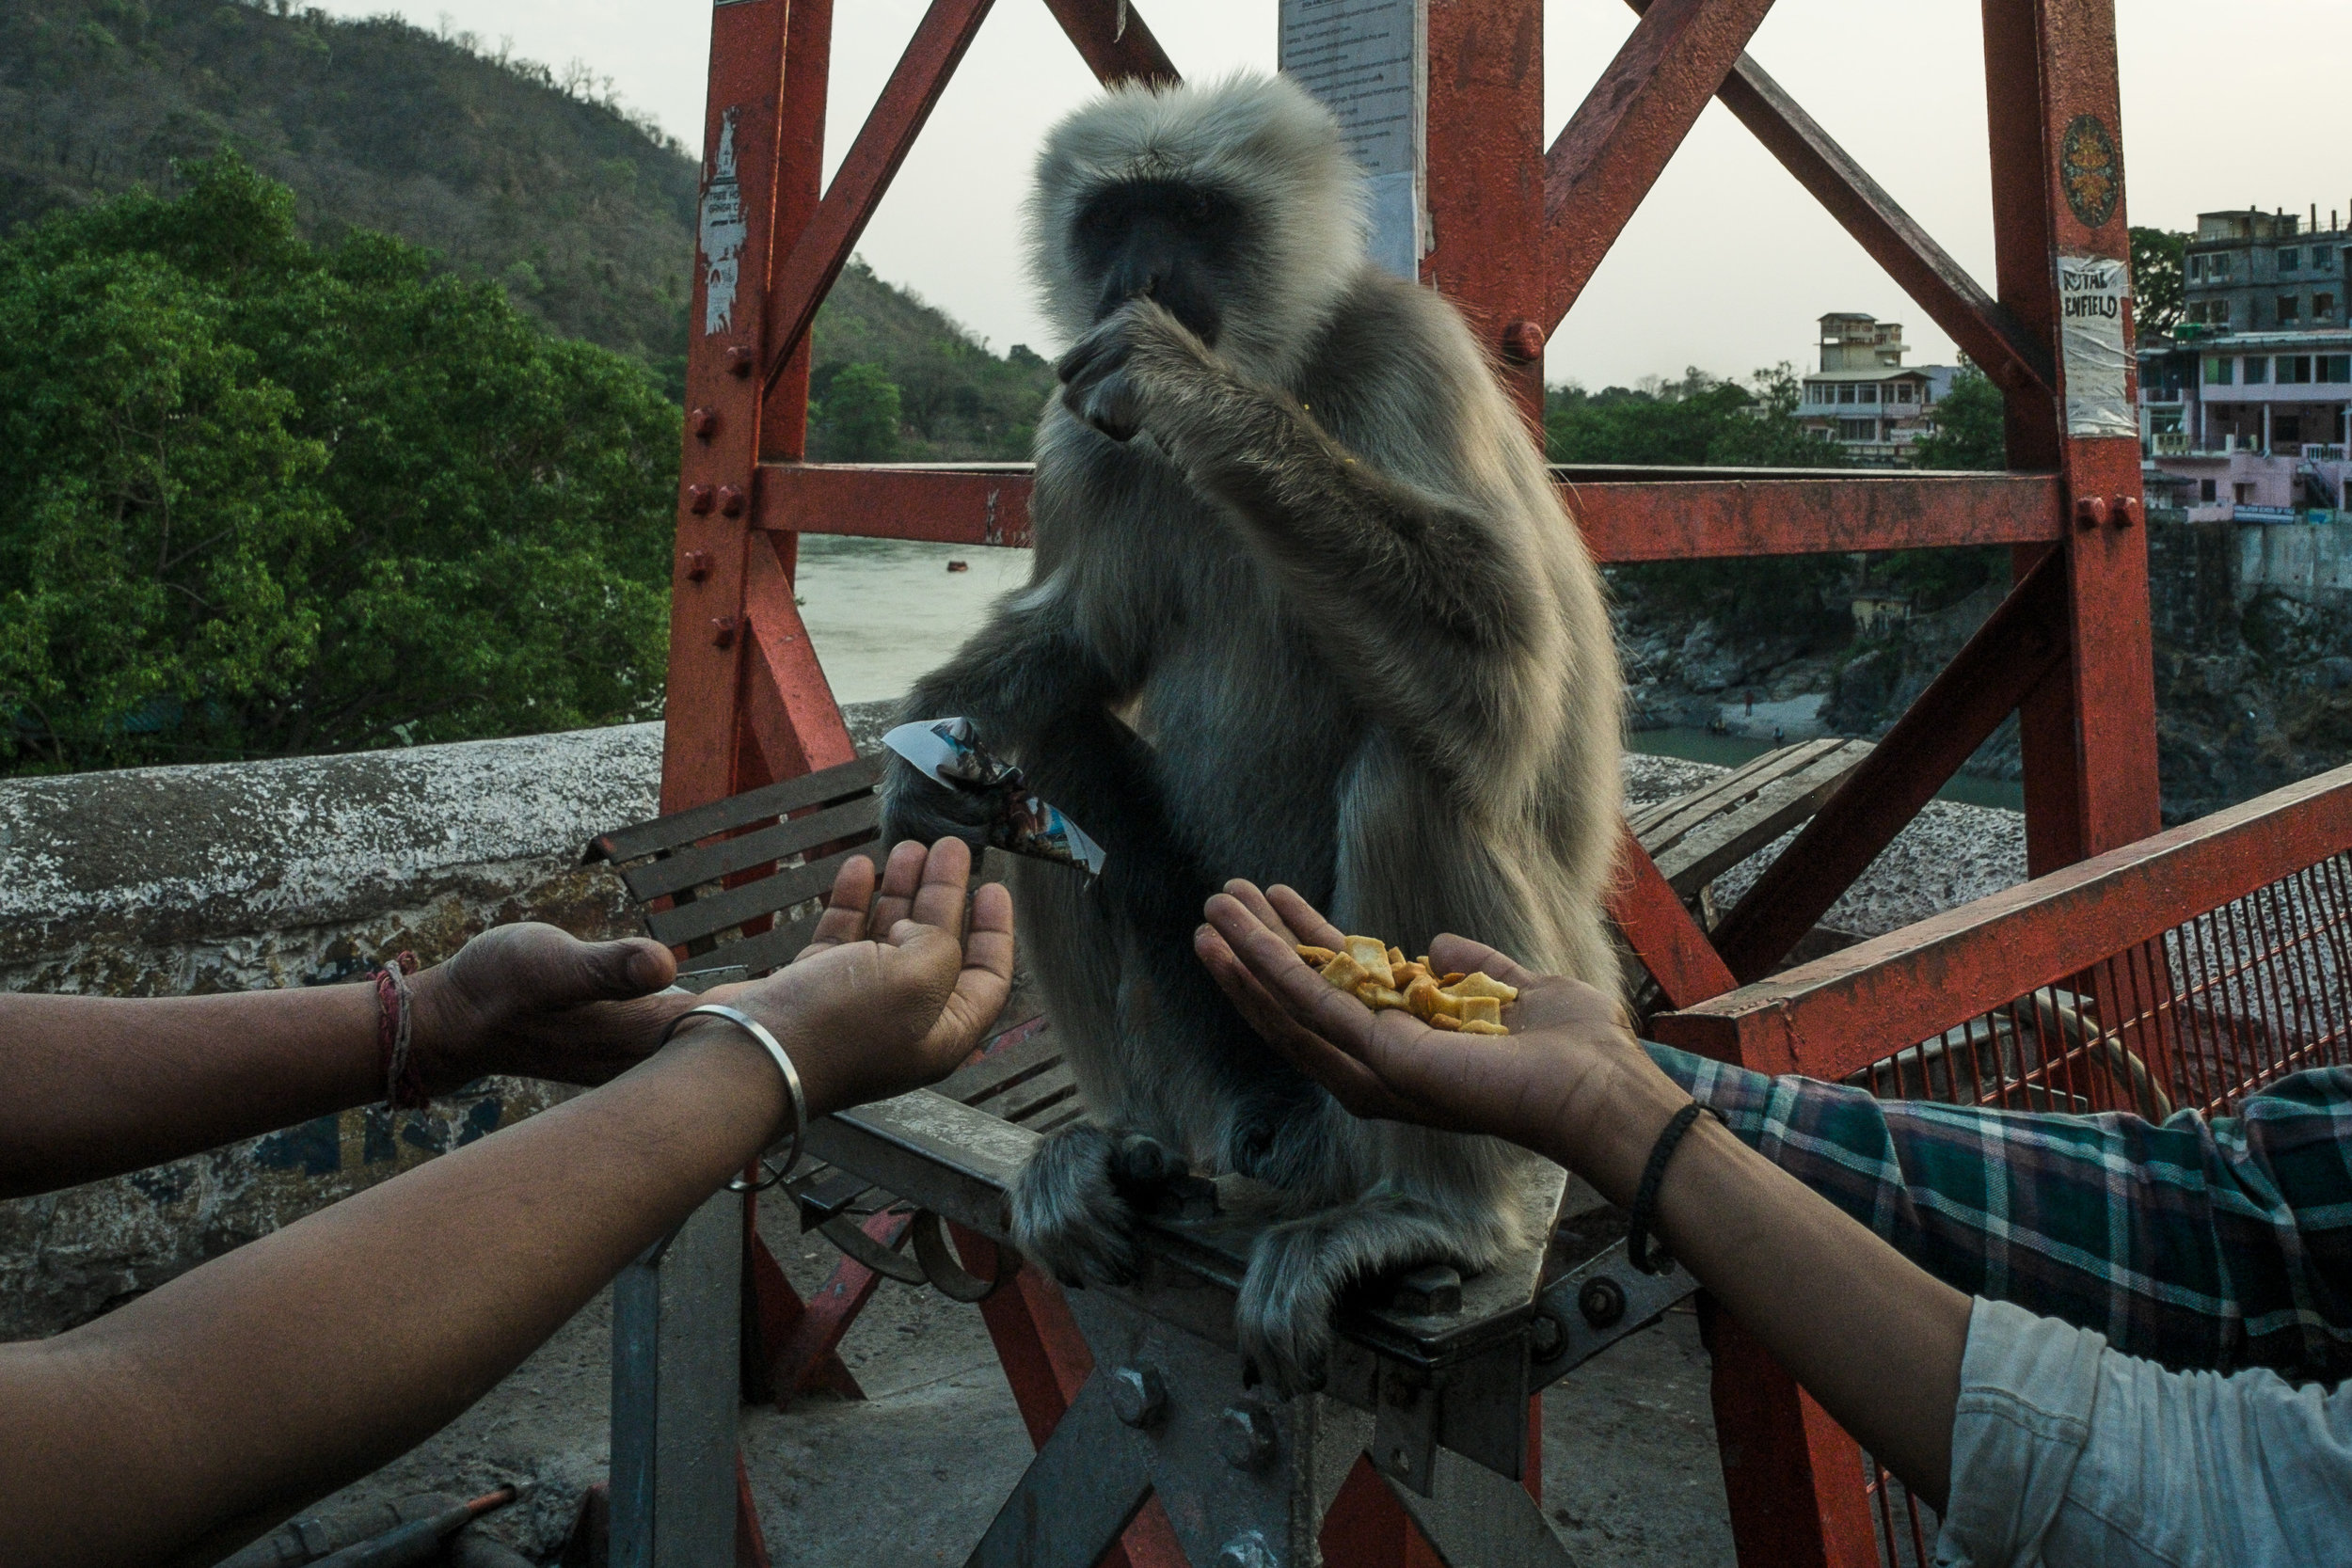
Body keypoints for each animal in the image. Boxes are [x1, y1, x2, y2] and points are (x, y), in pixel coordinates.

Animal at [875, 73, 1628, 1391]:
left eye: (1193, 214)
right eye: (1116, 218)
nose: (1141, 273)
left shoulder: (1406, 345)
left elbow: (1506, 669)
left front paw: (1192, 392)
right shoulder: (1076, 431)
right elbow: (1073, 642)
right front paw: (917, 774)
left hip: (1526, 1006)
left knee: (1410, 776)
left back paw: (1437, 1215)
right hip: (1230, 1073)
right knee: (1057, 748)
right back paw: (1124, 1145)